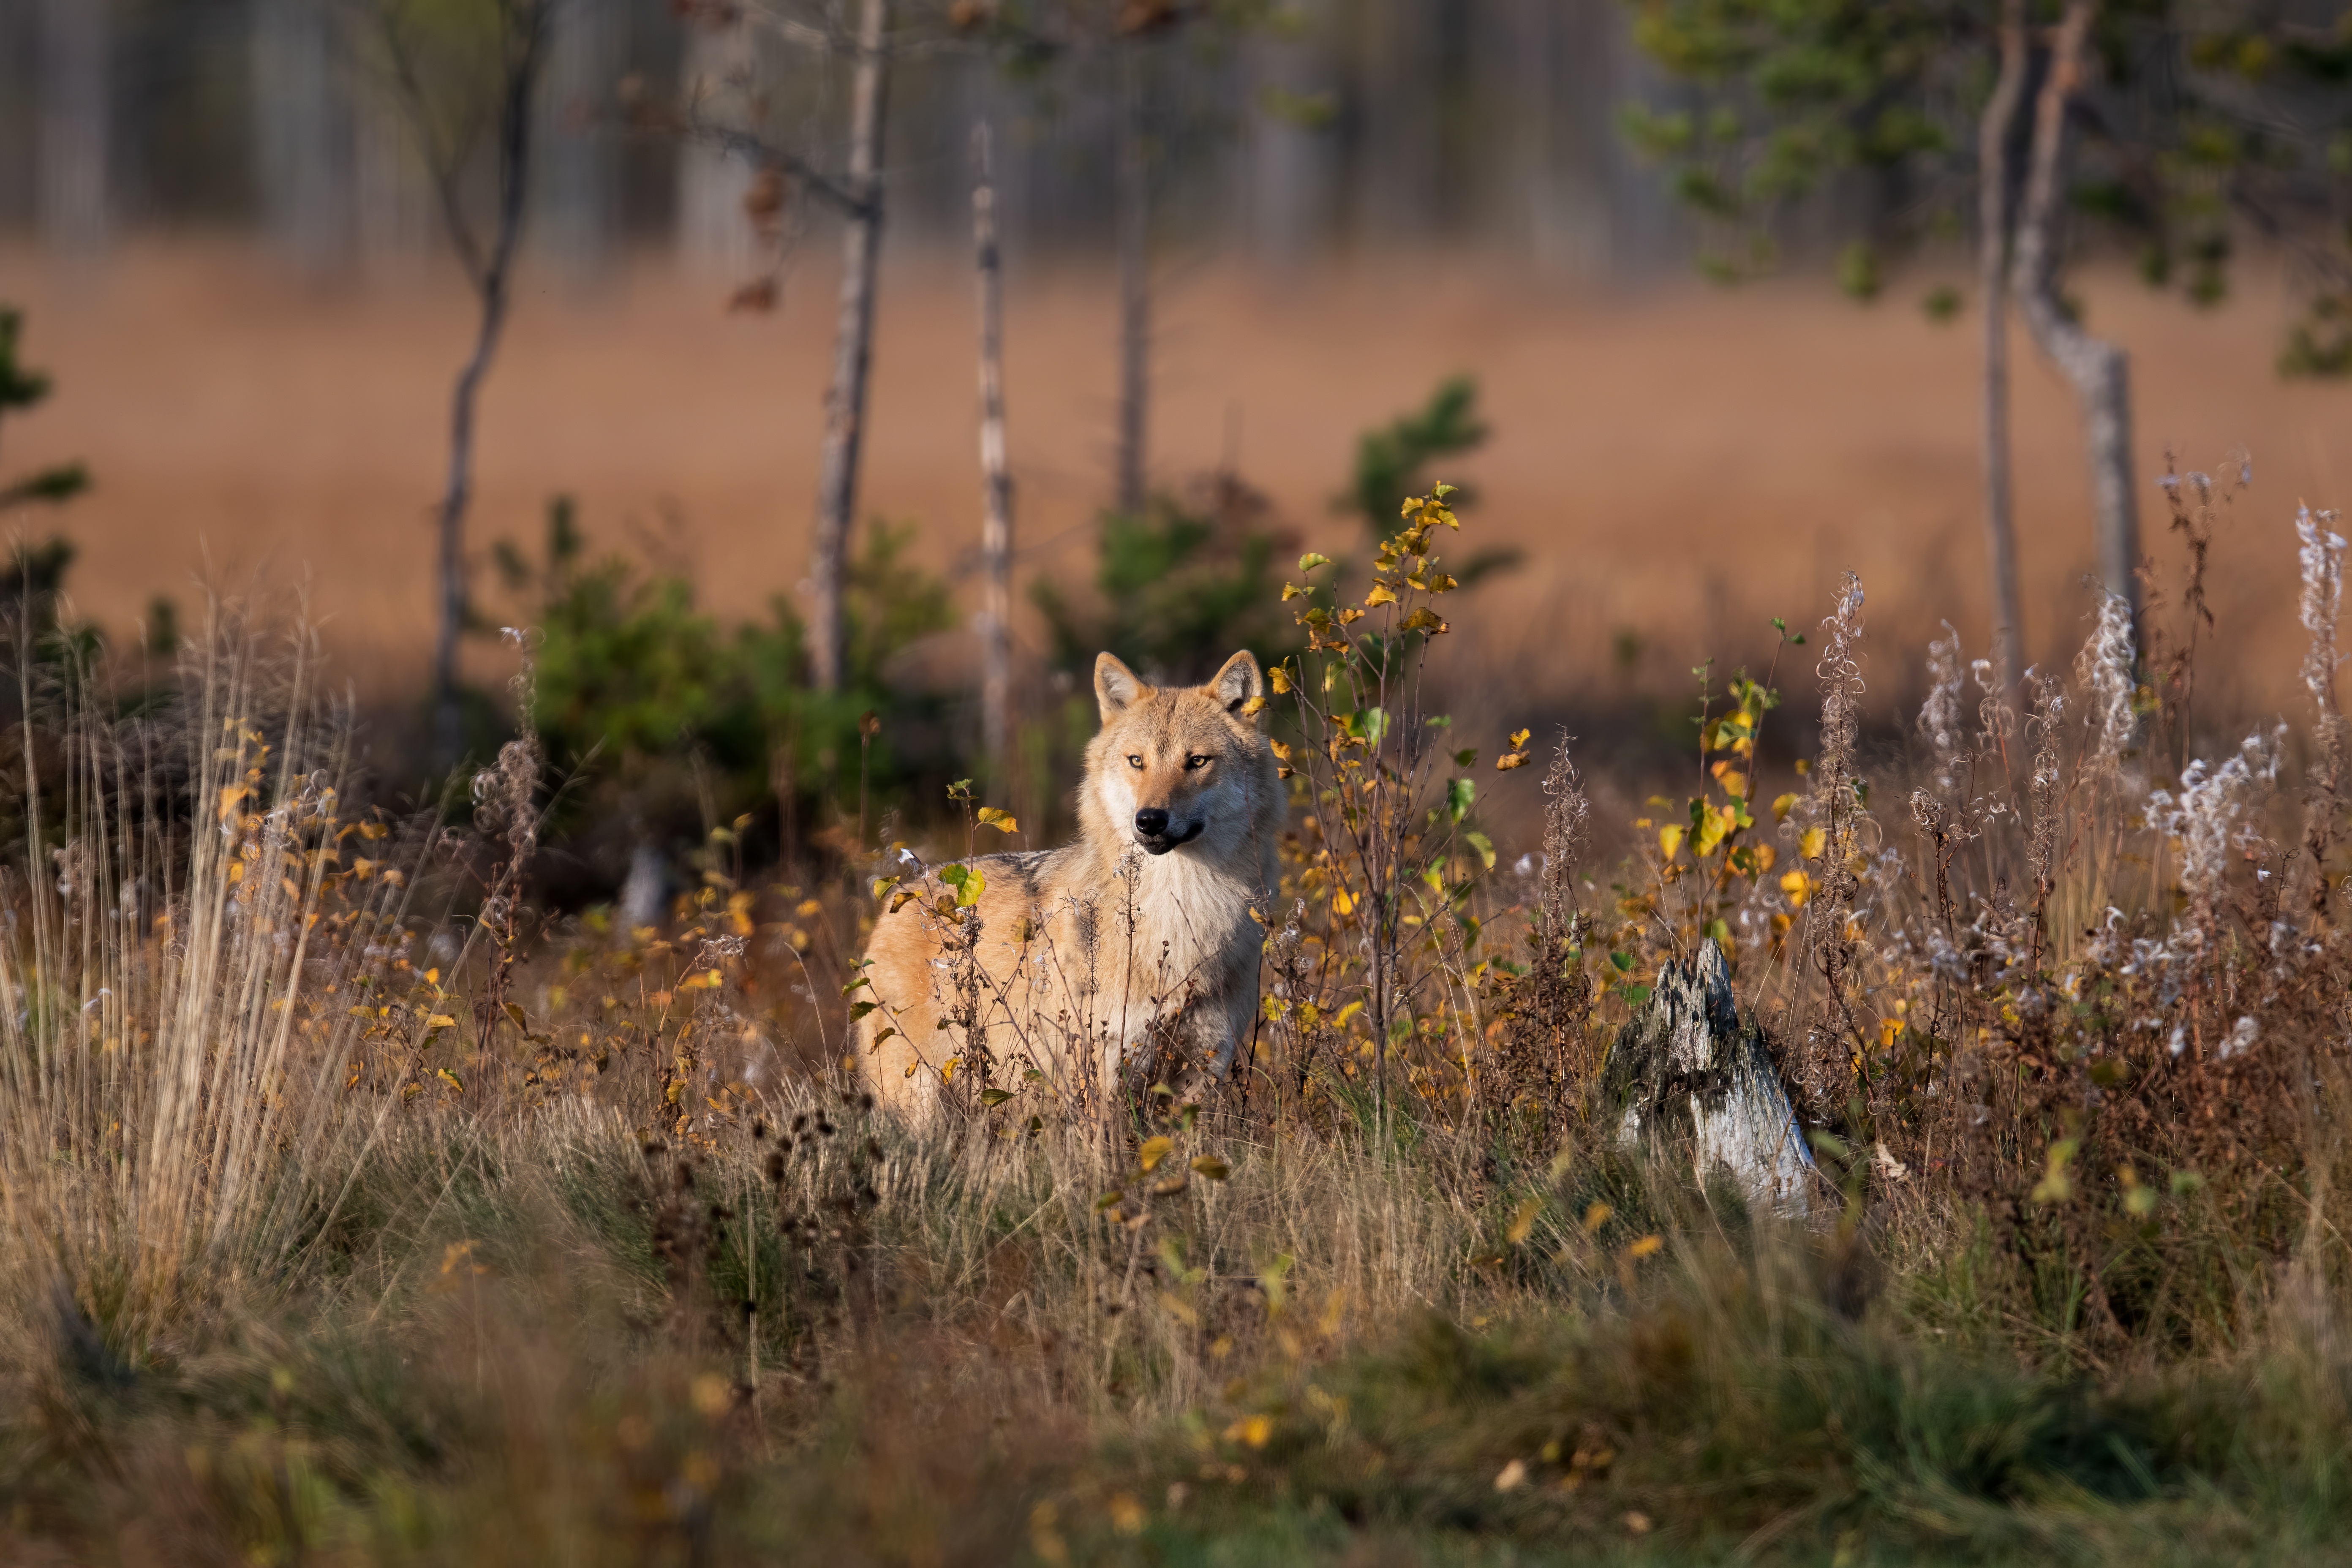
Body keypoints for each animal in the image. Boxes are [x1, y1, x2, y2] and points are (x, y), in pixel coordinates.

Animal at [856, 649, 1279, 1114]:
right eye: (1137, 761)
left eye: (1197, 761)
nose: (1149, 820)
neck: (1181, 907)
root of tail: (906, 889)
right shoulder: (1102, 1074)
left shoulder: (1201, 1078)